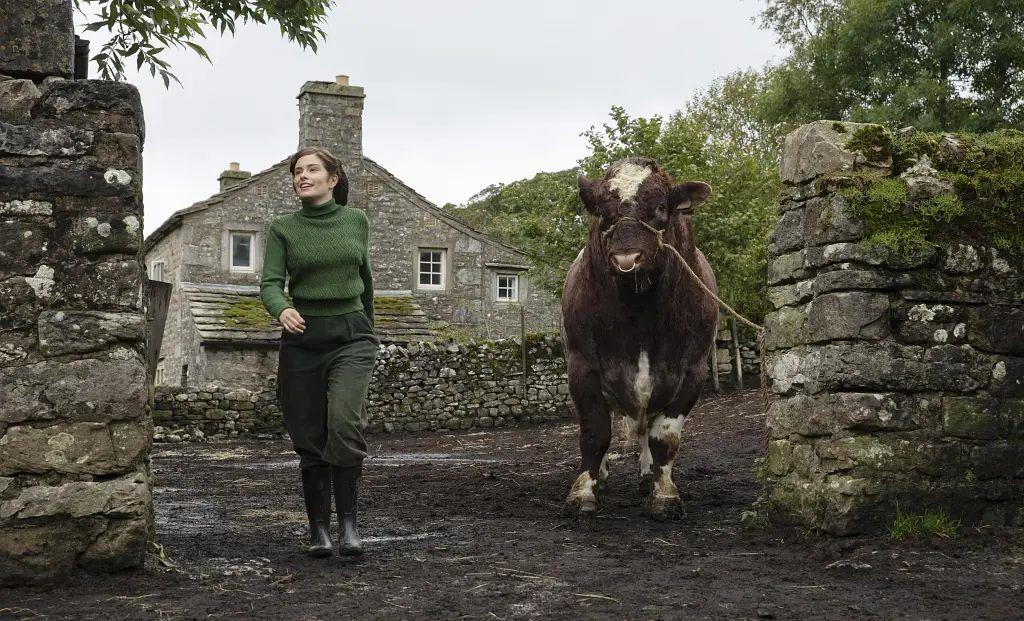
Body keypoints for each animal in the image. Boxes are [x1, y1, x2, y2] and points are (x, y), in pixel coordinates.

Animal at [561, 156, 720, 520]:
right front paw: (584, 492)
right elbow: (594, 432)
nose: (626, 259)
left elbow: (665, 437)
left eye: (661, 207)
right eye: (602, 211)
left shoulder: (693, 370)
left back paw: (648, 476)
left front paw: (664, 494)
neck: (640, 310)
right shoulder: (582, 366)